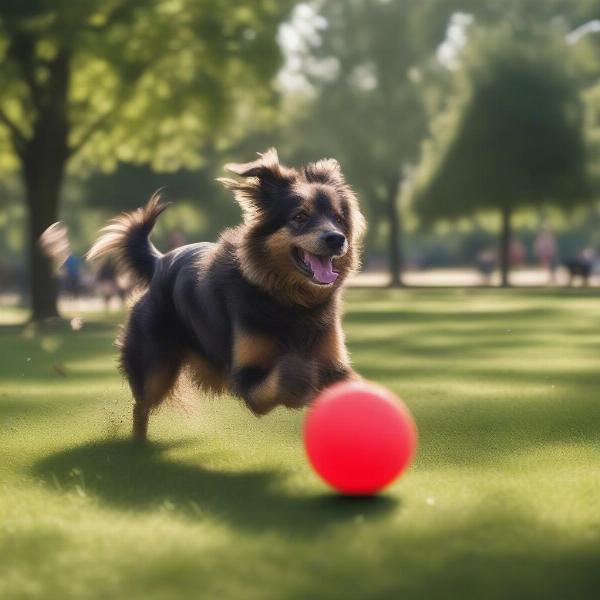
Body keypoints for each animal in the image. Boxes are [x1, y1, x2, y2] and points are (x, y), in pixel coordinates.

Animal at [85, 150, 366, 440]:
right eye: (299, 217)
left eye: (338, 218)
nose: (337, 239)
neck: (288, 301)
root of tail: (159, 261)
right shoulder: (246, 376)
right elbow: (283, 375)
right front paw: (300, 375)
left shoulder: (334, 363)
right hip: (154, 366)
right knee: (141, 405)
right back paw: (138, 444)